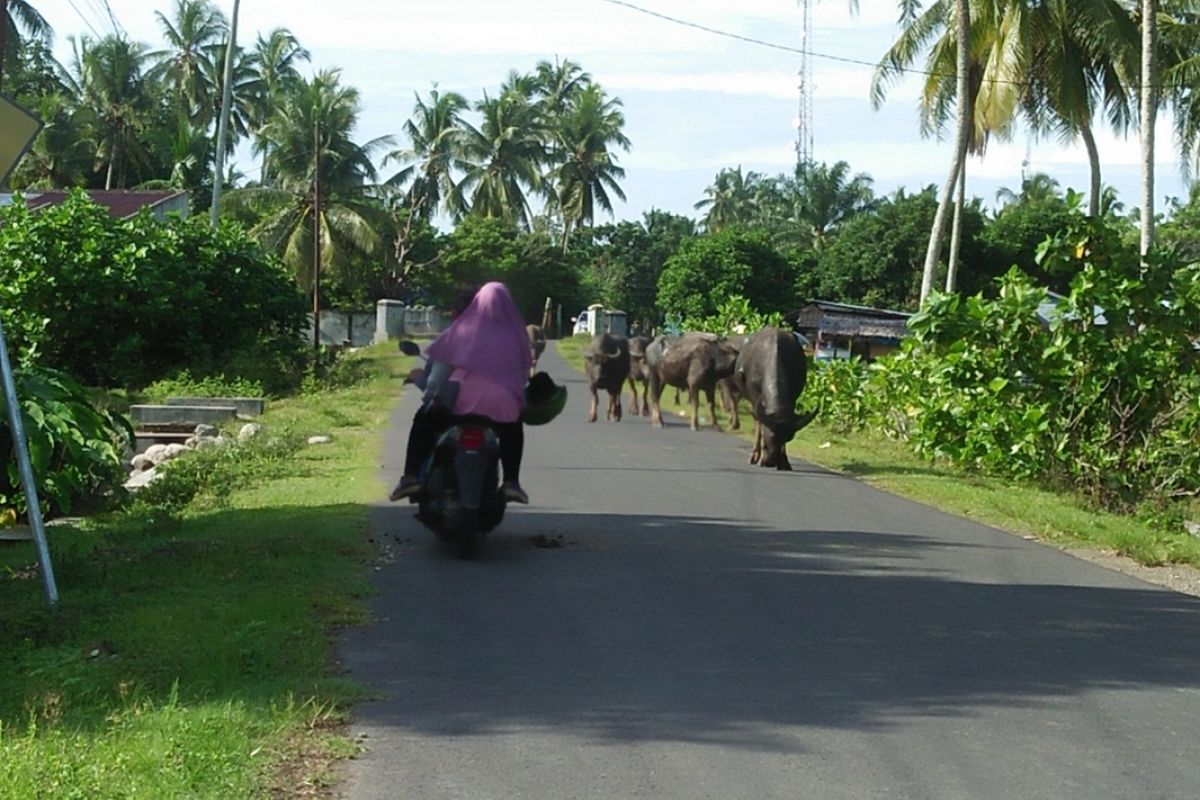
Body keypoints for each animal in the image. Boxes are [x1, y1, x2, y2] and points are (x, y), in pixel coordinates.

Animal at [729, 326, 816, 470]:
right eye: (769, 435)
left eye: (788, 438)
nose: (772, 461)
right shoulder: (756, 399)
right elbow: (760, 424)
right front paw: (761, 458)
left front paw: (784, 462)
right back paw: (755, 456)